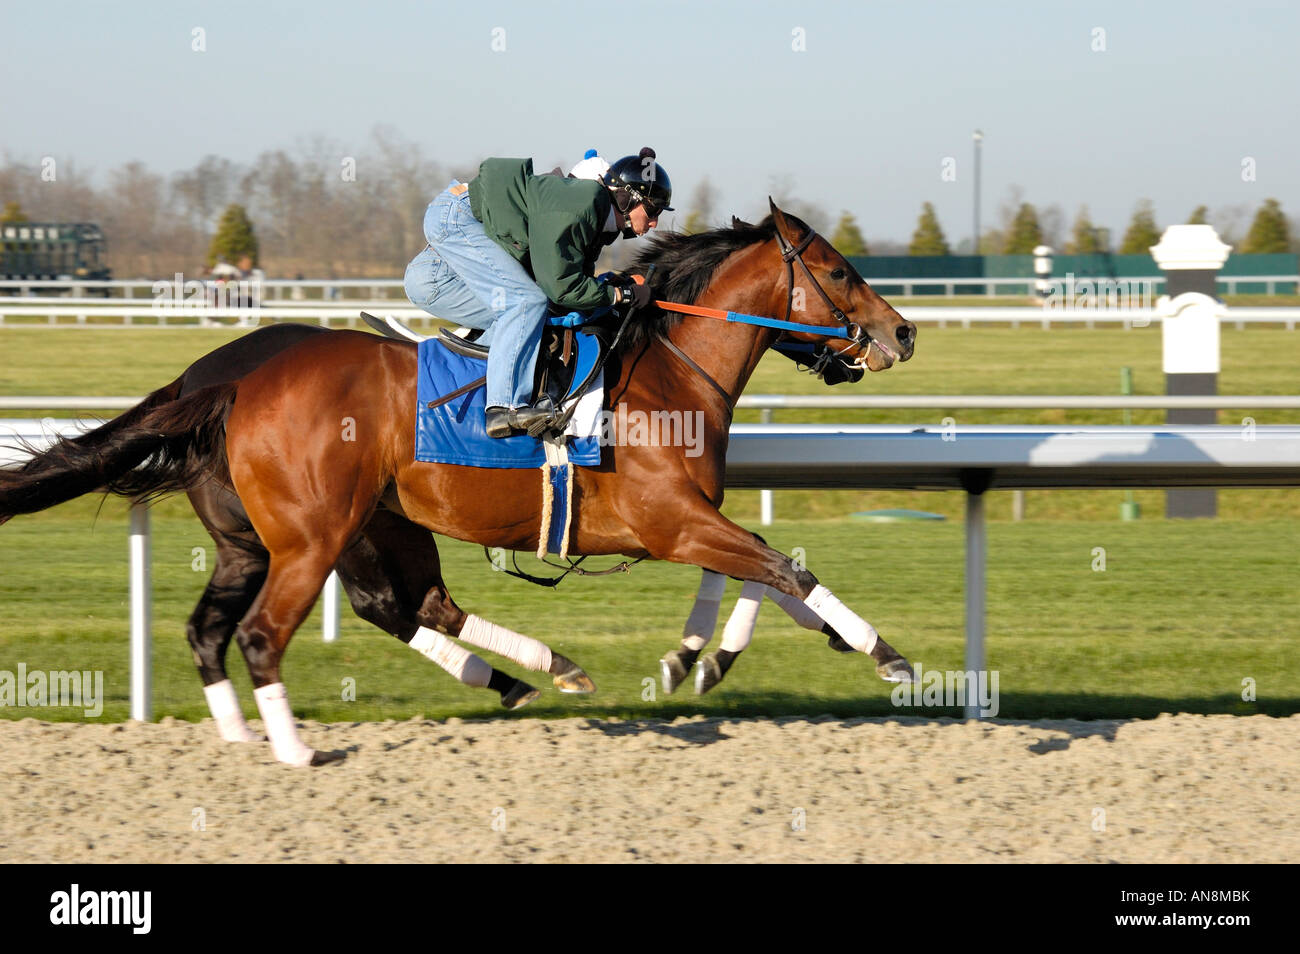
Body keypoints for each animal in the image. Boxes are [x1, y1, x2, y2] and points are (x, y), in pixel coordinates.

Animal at [0, 200, 917, 765]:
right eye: (839, 271)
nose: (902, 332)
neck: (665, 371)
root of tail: (227, 384)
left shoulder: (684, 521)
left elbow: (765, 569)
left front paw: (700, 659)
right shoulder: (668, 520)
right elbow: (778, 566)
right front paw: (885, 655)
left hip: (288, 537)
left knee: (281, 621)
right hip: (317, 536)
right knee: (288, 627)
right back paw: (299, 744)